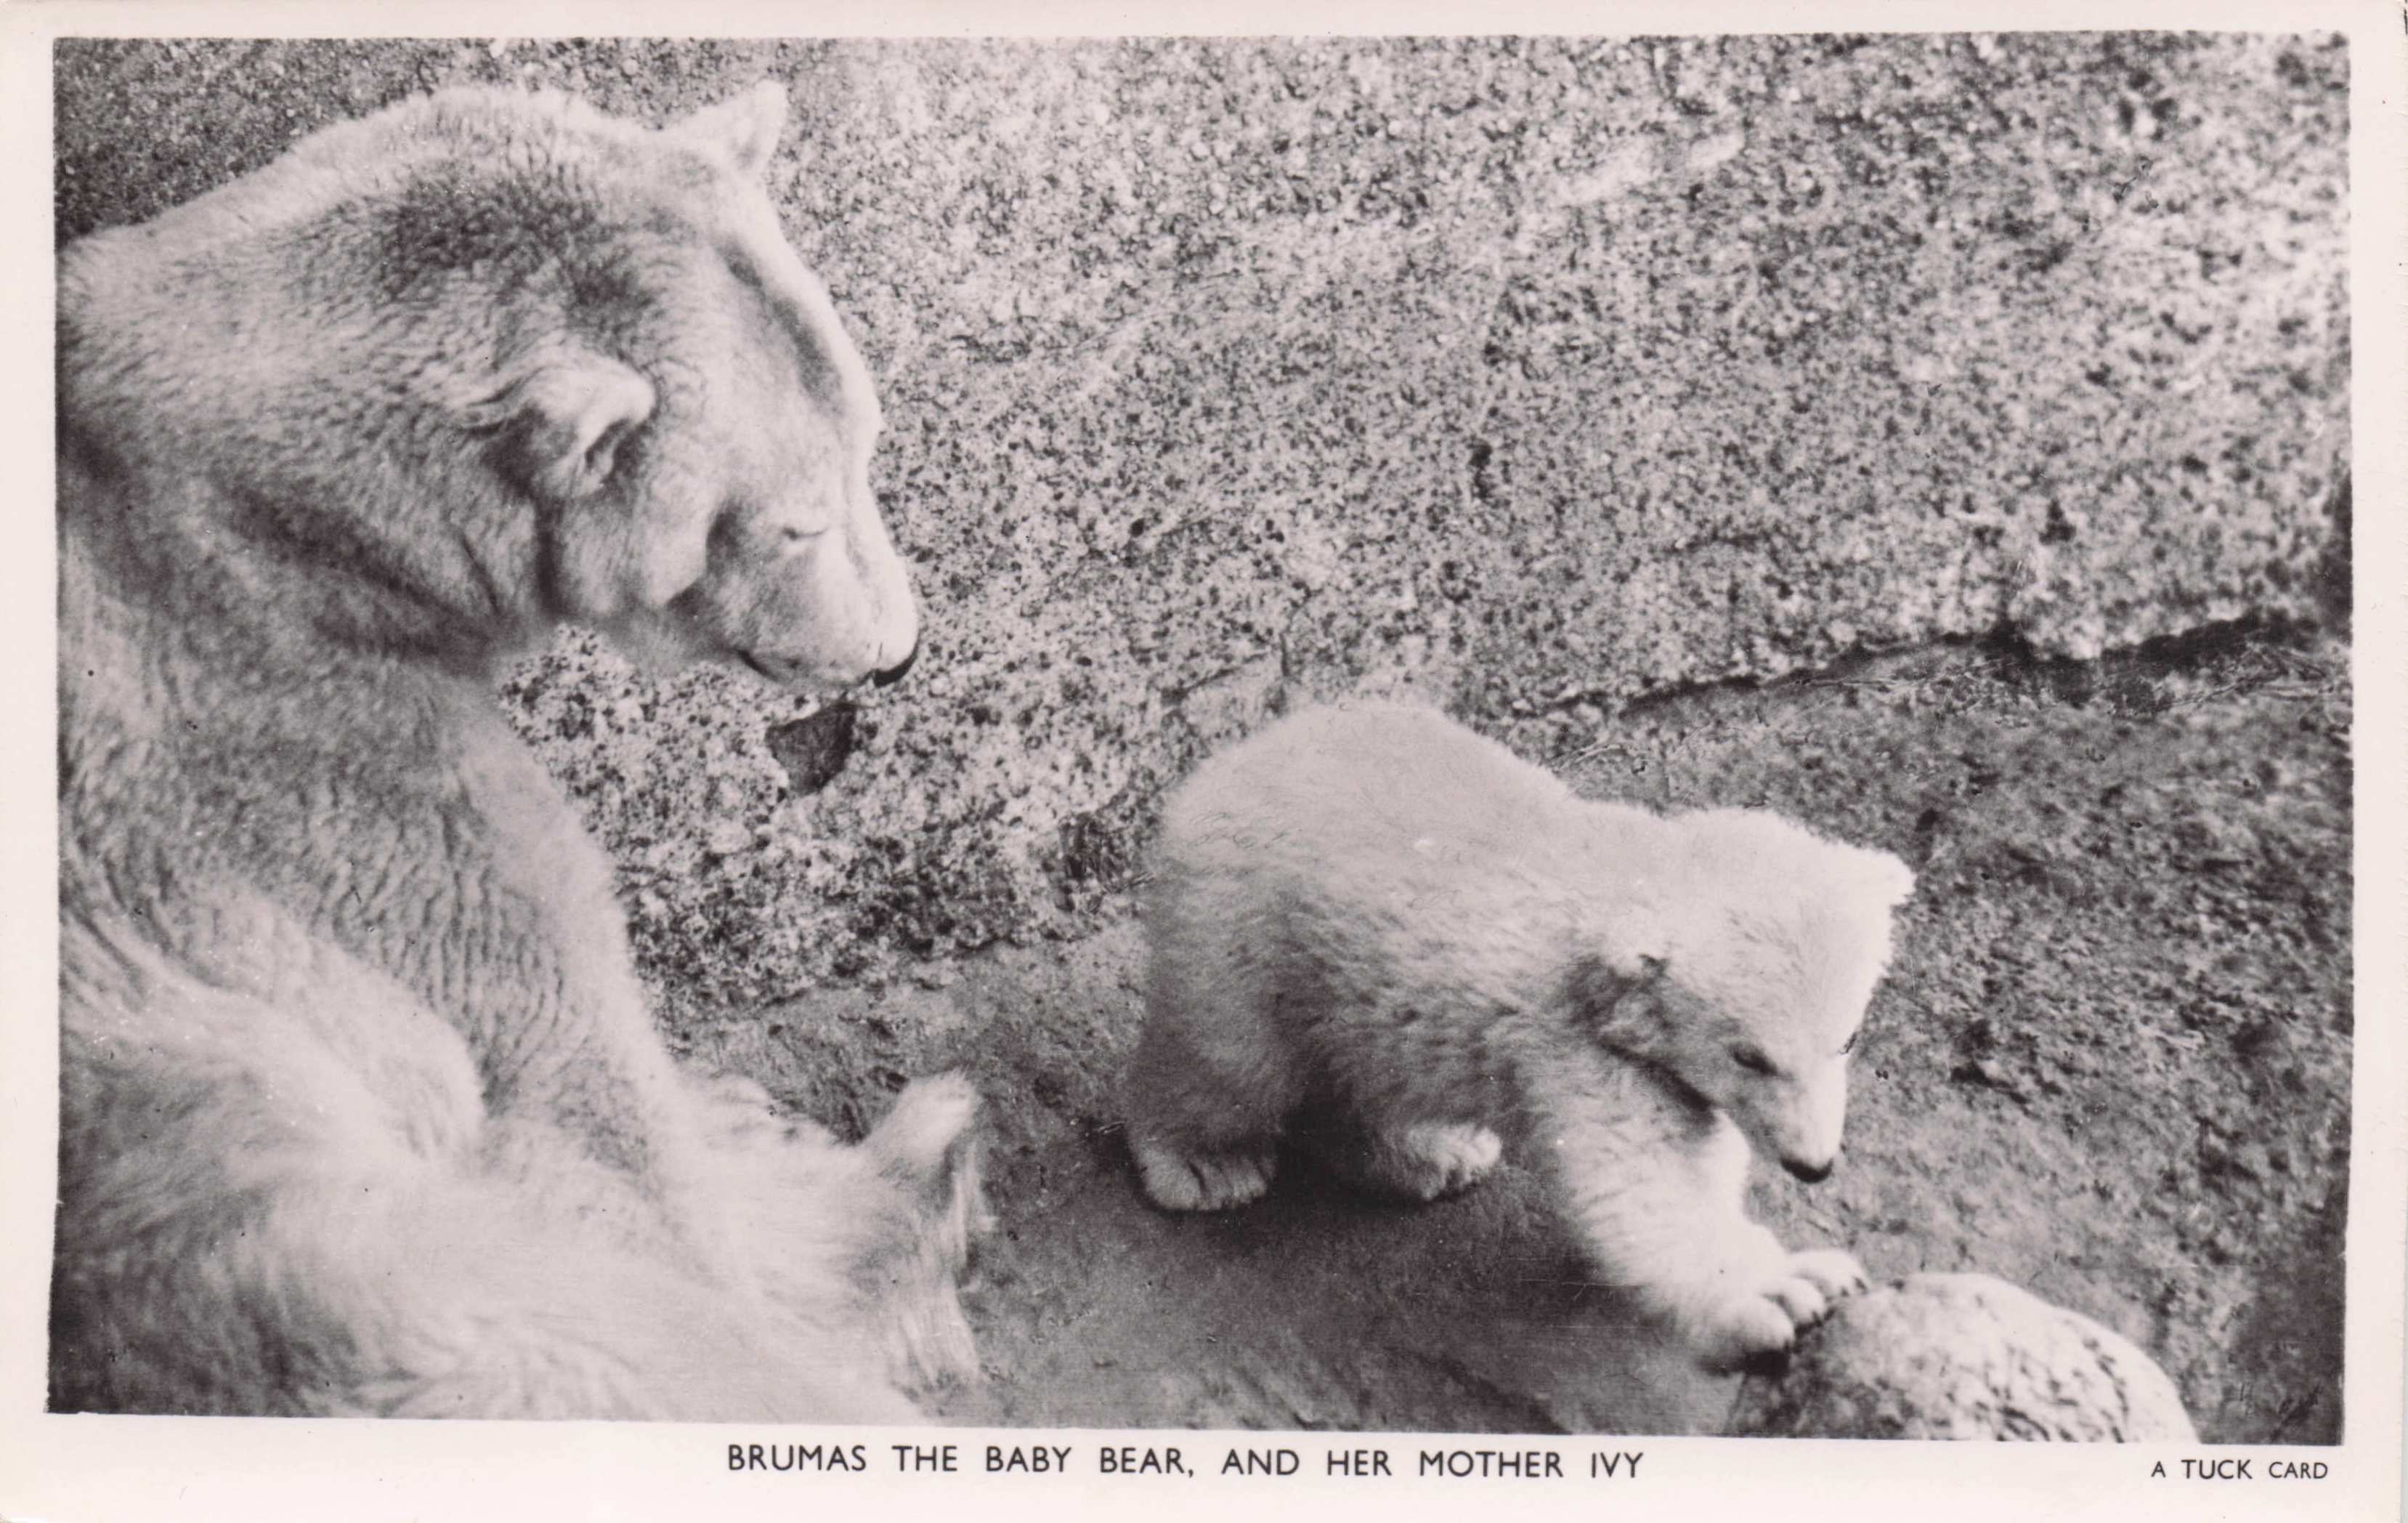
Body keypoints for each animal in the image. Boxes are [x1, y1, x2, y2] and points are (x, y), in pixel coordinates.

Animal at [53, 81, 985, 1421]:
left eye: (869, 439)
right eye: (797, 520)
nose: (900, 654)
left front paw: (758, 1125)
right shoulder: (312, 768)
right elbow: (582, 1098)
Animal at [1123, 700, 1915, 1371]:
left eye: (1847, 1038)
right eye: (1749, 1055)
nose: (1815, 1165)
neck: (1627, 885)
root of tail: (1235, 756)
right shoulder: (1579, 1042)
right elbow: (1644, 1185)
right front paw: (1785, 1290)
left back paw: (1432, 1155)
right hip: (1246, 927)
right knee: (1230, 1058)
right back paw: (1208, 1165)